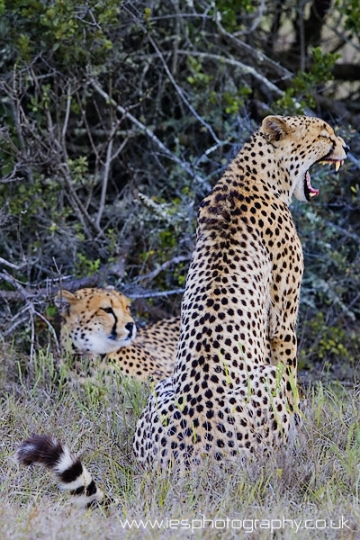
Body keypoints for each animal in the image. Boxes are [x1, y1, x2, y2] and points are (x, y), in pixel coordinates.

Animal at [16, 115, 346, 506]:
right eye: (324, 133)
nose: (345, 146)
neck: (257, 173)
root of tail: (183, 466)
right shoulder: (282, 320)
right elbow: (293, 381)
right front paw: (302, 436)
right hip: (262, 381)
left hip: (160, 387)